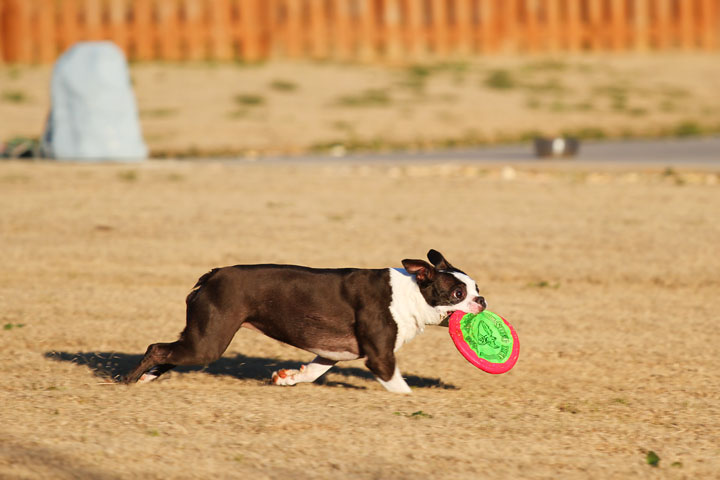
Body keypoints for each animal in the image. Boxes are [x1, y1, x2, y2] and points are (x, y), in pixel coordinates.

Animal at [124, 249, 486, 392]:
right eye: (457, 293)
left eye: (477, 288)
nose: (481, 302)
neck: (411, 292)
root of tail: (212, 275)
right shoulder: (380, 357)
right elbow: (399, 386)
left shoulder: (330, 352)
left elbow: (312, 372)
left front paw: (287, 378)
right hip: (209, 342)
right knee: (157, 348)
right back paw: (127, 382)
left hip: (201, 335)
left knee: (169, 352)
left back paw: (146, 380)